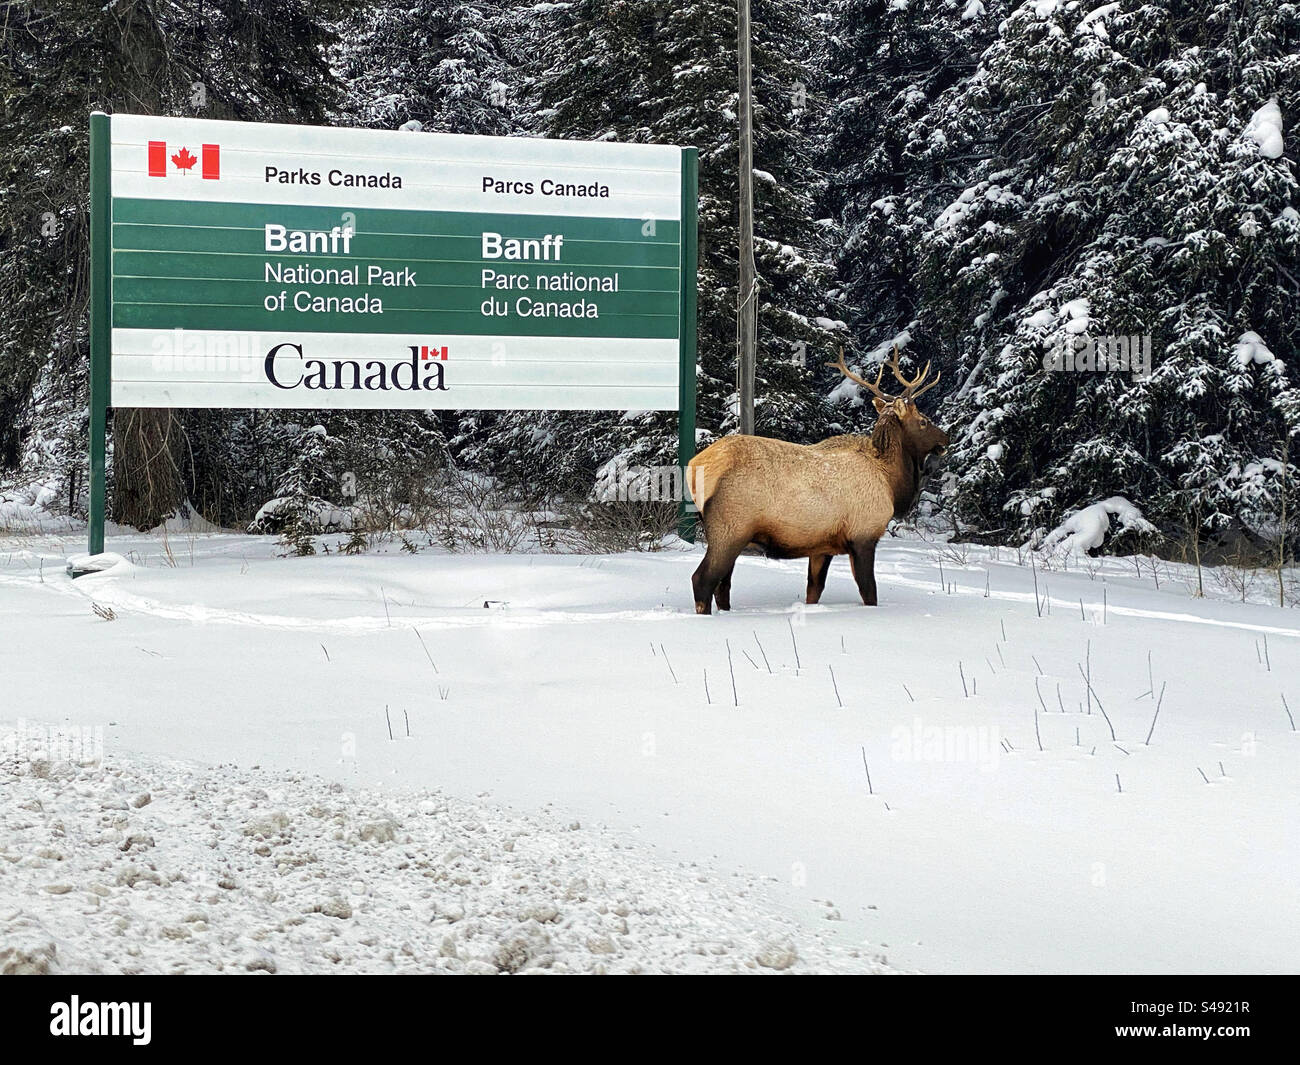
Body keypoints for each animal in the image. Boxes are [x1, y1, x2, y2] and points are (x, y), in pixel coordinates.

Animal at [691, 348, 946, 616]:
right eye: (923, 421)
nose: (946, 438)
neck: (890, 481)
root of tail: (696, 467)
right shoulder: (863, 535)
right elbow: (869, 592)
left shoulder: (822, 547)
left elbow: (814, 590)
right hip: (730, 529)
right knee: (703, 580)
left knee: (723, 586)